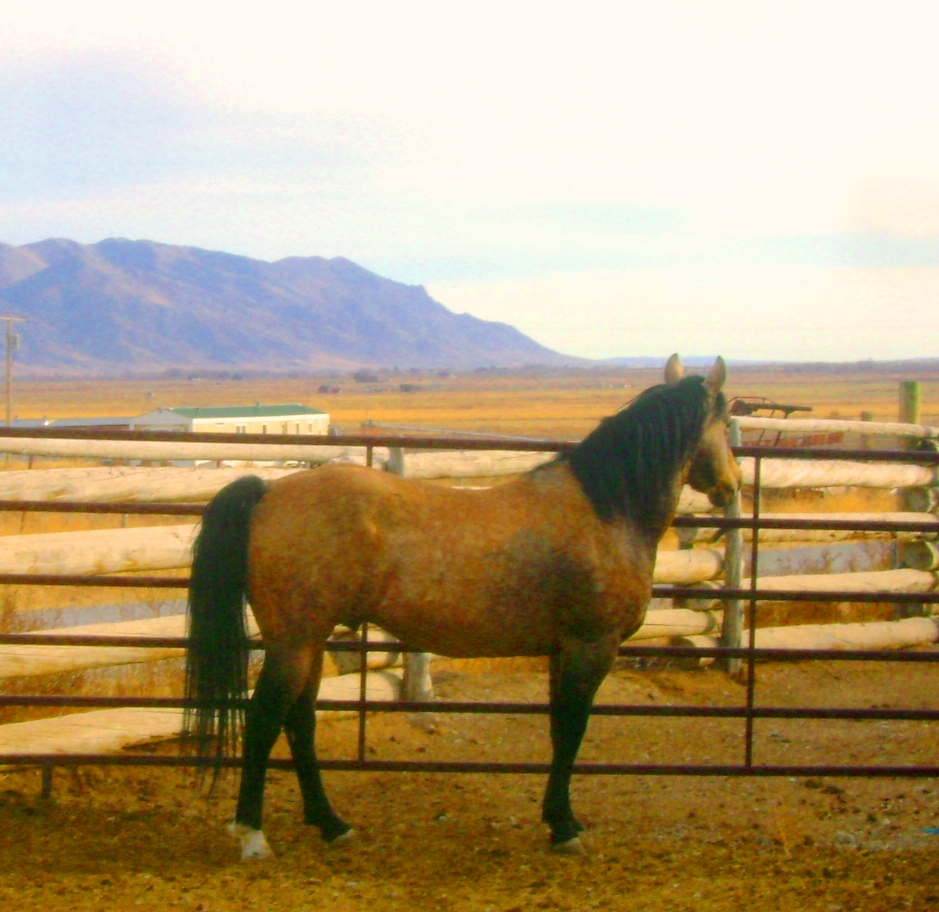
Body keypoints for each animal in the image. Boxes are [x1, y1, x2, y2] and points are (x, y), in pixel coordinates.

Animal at [184, 352, 740, 860]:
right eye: (725, 420)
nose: (731, 485)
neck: (606, 510)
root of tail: (268, 492)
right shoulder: (591, 646)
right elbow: (572, 731)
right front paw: (565, 826)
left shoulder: (564, 650)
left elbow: (559, 730)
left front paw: (555, 819)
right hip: (294, 643)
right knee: (263, 720)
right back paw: (253, 835)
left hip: (309, 643)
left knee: (298, 721)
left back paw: (331, 823)